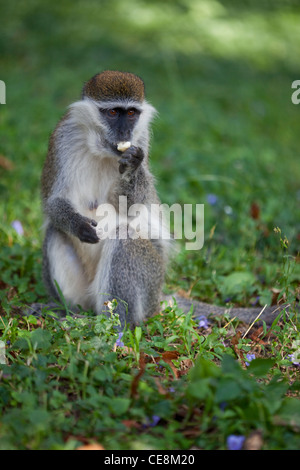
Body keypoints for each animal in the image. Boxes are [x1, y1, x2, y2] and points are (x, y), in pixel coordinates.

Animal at [40, 70, 170, 326]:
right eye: (112, 112)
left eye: (131, 113)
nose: (124, 134)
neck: (100, 148)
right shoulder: (61, 138)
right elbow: (53, 201)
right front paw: (78, 226)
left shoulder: (142, 141)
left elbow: (130, 208)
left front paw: (132, 166)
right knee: (54, 230)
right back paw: (69, 311)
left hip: (152, 278)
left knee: (126, 237)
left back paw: (112, 324)